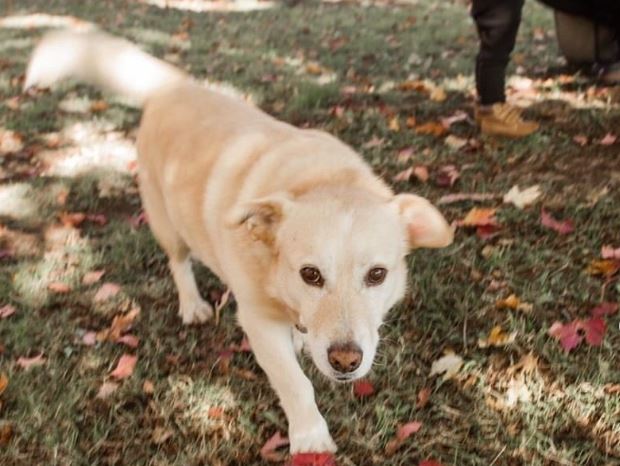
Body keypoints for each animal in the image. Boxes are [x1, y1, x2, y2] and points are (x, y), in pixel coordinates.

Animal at [26, 30, 452, 456]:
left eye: (377, 275)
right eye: (310, 274)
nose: (345, 361)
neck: (322, 179)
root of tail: (174, 88)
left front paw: (301, 340)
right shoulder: (257, 321)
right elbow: (295, 383)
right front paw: (309, 435)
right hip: (167, 223)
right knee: (178, 263)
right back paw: (192, 304)